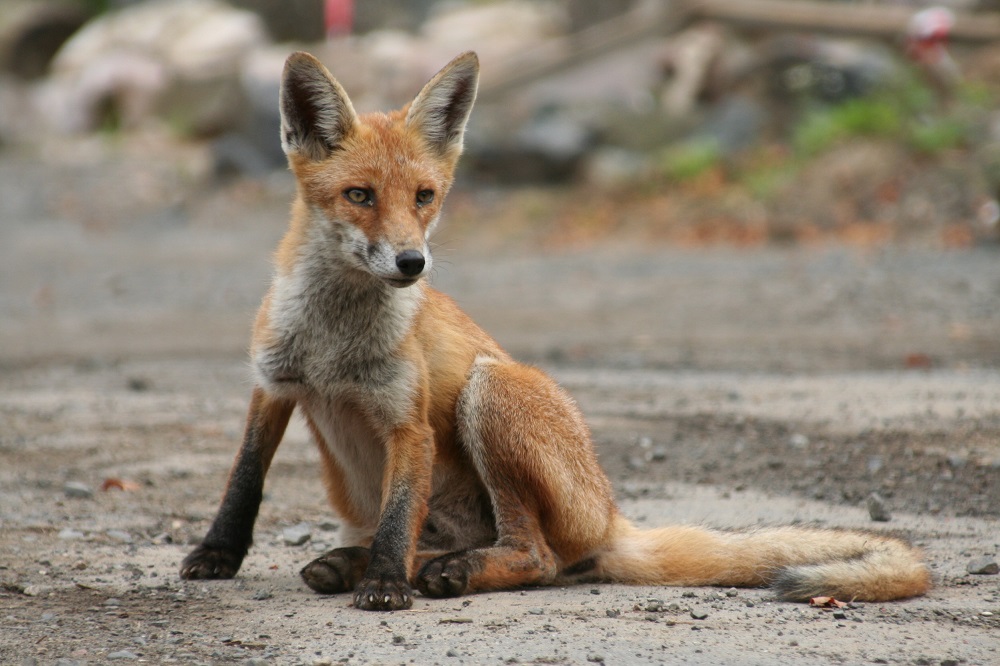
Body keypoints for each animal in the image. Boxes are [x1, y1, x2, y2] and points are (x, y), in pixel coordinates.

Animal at [178, 50, 928, 608]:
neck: (334, 342)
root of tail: (612, 515)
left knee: (534, 556)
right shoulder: (273, 383)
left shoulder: (407, 424)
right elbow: (244, 481)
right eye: (359, 196)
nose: (413, 263)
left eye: (424, 197)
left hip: (491, 392)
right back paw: (356, 562)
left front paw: (386, 584)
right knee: (453, 541)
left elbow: (398, 518)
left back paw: (437, 572)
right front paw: (217, 554)